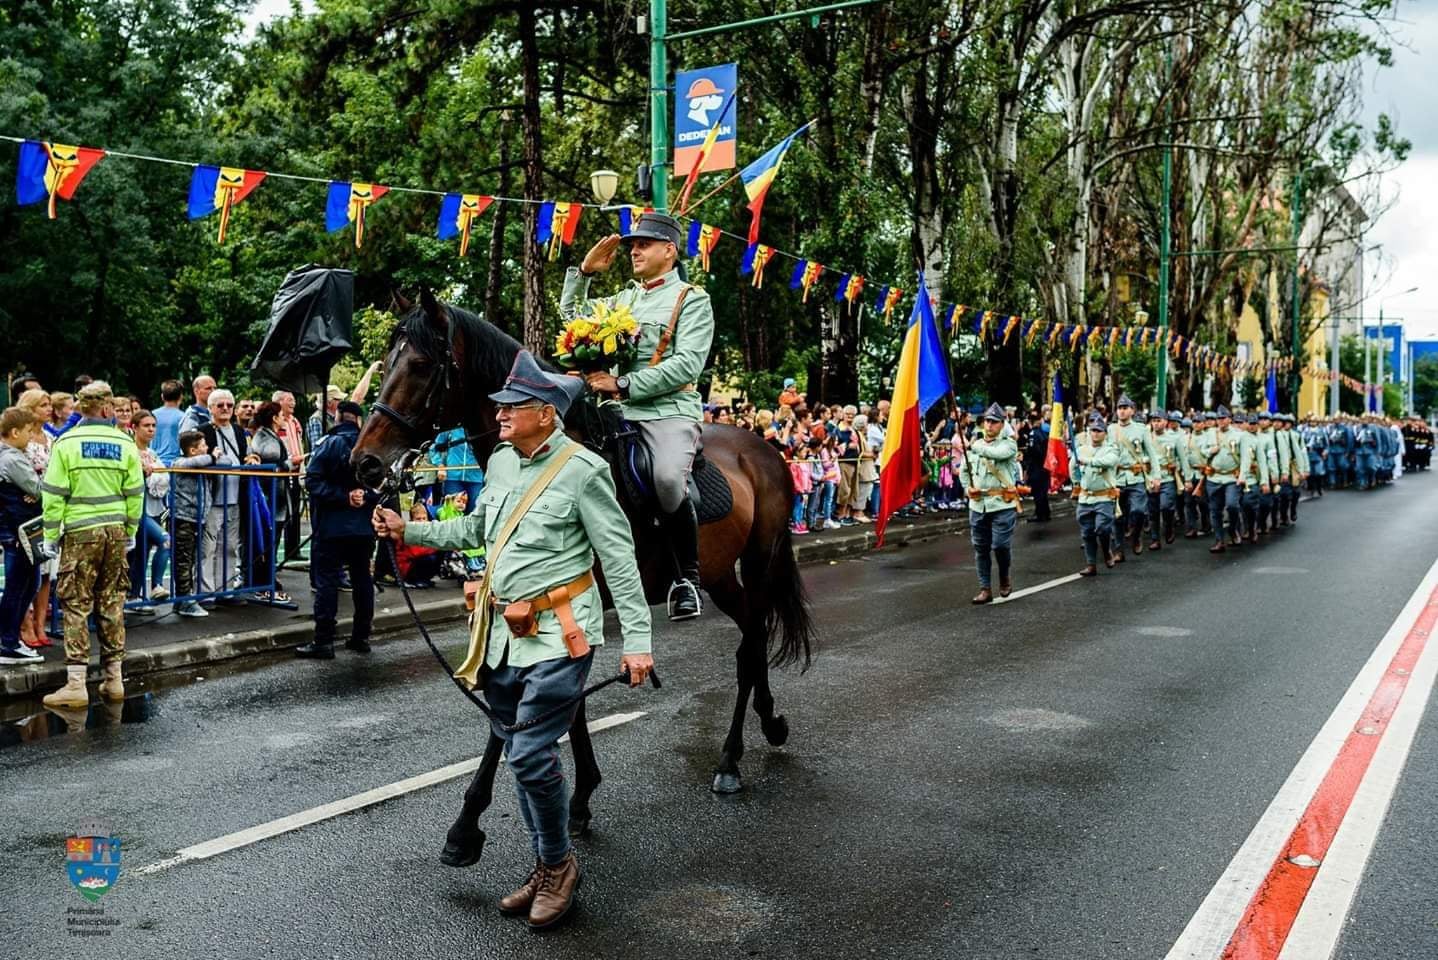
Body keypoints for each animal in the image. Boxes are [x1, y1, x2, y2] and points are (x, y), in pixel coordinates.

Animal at [349, 288, 816, 868]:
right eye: (384, 362)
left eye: (418, 364)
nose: (365, 464)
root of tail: (765, 449)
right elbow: (545, 708)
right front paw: (580, 799)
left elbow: (535, 709)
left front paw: (467, 826)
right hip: (721, 578)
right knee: (753, 637)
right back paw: (769, 723)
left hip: (754, 563)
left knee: (751, 646)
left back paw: (730, 761)